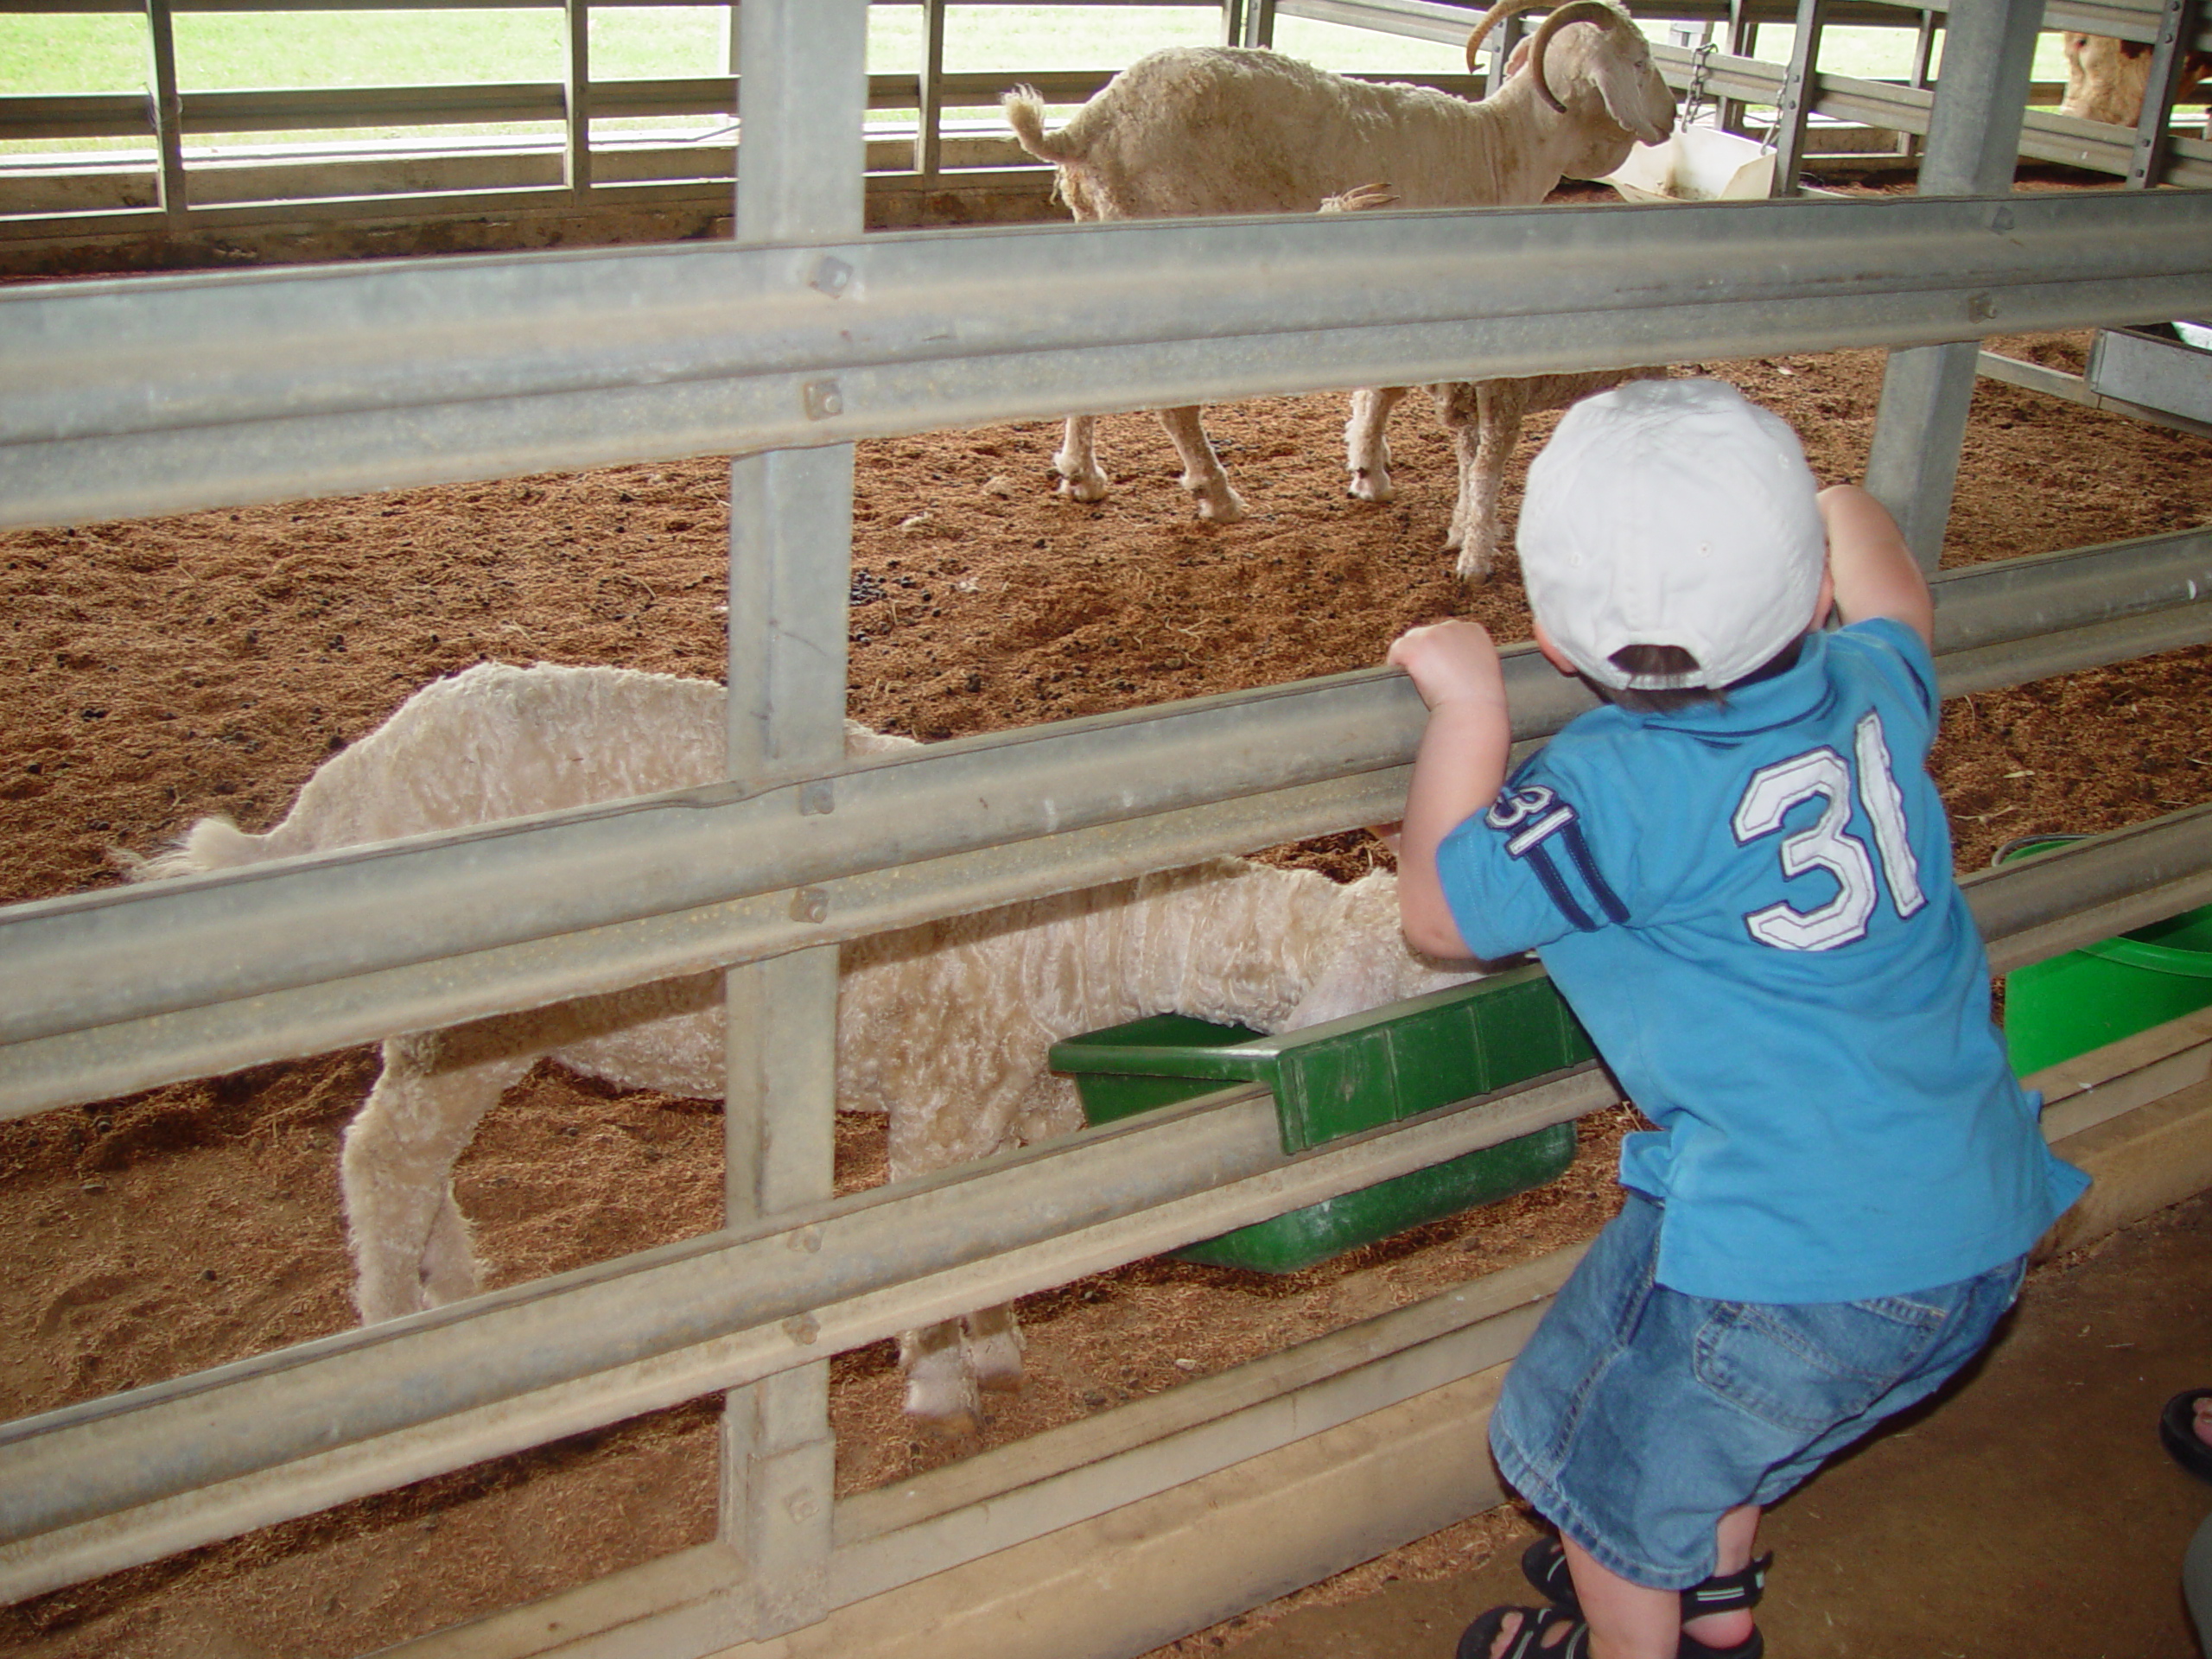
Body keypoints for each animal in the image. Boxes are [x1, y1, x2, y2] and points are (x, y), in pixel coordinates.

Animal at [133, 658, 1468, 1433]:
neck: (1089, 927)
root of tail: (334, 802)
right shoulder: (942, 1098)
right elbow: (929, 1244)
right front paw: (936, 1381)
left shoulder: (1022, 1105)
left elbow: (1005, 1237)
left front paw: (995, 1348)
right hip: (465, 1020)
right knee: (383, 1157)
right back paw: (390, 1324)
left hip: (456, 1033)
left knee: (411, 1155)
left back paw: (452, 1296)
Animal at [1004, 0, 1672, 535]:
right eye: (1640, 60)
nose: (1669, 121)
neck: (1499, 146)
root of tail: (1090, 126)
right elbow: (1389, 385)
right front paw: (1370, 473)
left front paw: (1366, 457)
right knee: (1171, 397)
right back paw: (1217, 494)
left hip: (1100, 234)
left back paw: (1082, 474)